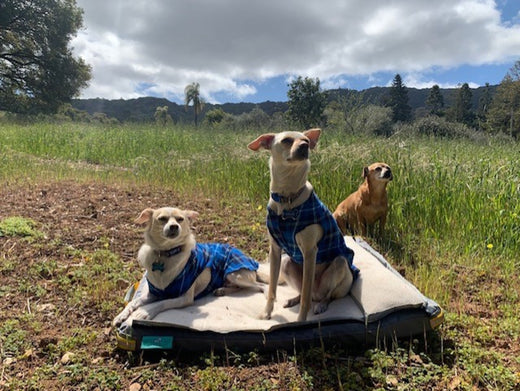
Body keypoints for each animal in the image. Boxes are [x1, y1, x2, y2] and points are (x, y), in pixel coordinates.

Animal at [112, 208, 264, 328]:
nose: (174, 226)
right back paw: (221, 290)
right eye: (162, 219)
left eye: (180, 219)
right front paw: (121, 315)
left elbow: (161, 303)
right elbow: (134, 301)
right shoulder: (154, 293)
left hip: (235, 274)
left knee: (257, 286)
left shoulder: (184, 298)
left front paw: (143, 312)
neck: (166, 253)